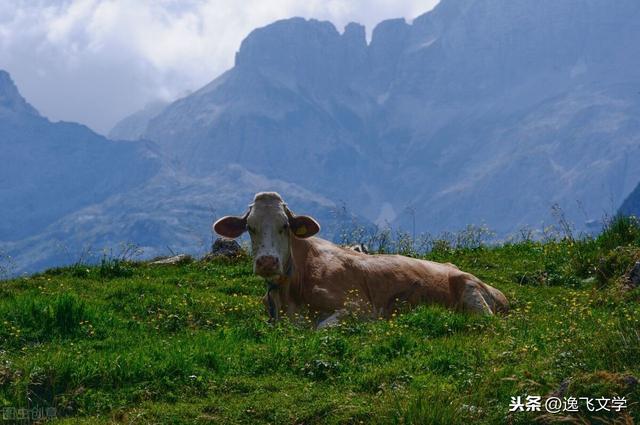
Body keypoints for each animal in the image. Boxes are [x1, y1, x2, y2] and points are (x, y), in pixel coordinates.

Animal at [215, 192, 510, 328]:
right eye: (250, 227)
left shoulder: (359, 308)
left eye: (284, 226)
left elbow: (320, 327)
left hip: (471, 292)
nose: (267, 262)